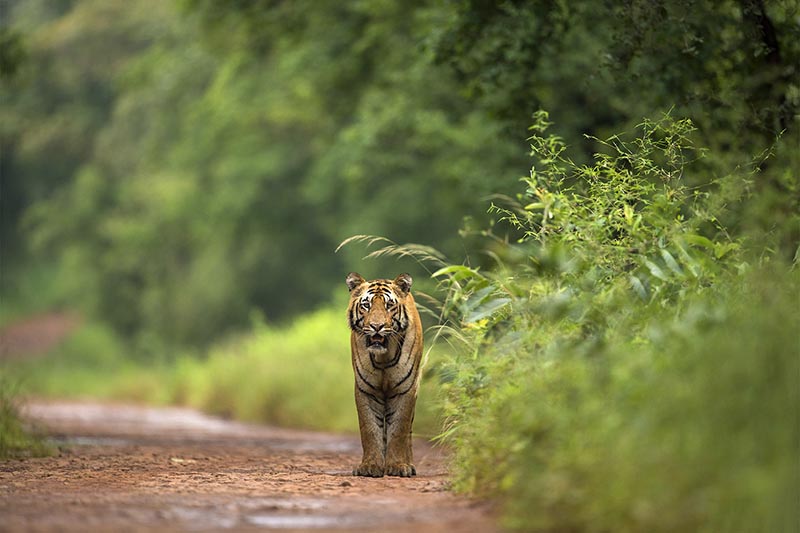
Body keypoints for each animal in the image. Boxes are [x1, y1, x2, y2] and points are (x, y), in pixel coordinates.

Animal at [345, 272, 424, 477]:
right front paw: (370, 466)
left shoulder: (406, 389)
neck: (383, 357)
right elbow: (370, 429)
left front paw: (398, 466)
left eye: (389, 305)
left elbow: (399, 429)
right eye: (366, 305)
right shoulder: (366, 389)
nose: (376, 326)